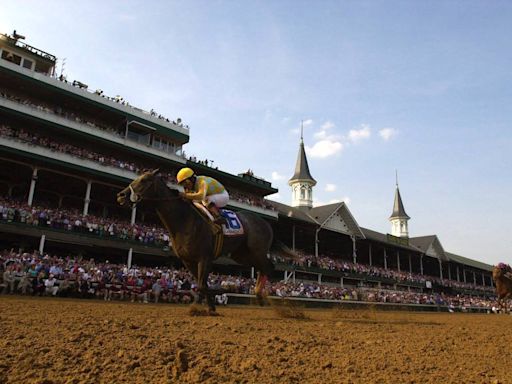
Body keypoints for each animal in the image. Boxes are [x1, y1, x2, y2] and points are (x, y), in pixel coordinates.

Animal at [117, 170, 276, 314]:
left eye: (144, 180)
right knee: (263, 268)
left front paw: (200, 306)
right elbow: (203, 284)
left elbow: (201, 285)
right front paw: (212, 306)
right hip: (242, 255)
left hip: (257, 251)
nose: (120, 196)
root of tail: (266, 224)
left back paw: (263, 296)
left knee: (269, 267)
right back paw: (259, 294)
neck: (184, 221)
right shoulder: (188, 260)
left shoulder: (204, 258)